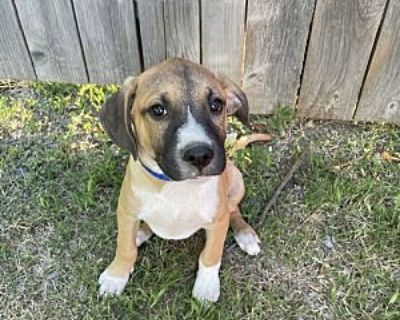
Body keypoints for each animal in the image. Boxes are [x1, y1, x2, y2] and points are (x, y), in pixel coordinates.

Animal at [99, 58, 260, 302]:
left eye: (216, 105)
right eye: (158, 110)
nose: (200, 155)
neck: (176, 185)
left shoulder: (218, 219)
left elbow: (211, 254)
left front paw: (206, 286)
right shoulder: (126, 212)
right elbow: (125, 247)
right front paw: (116, 276)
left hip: (236, 181)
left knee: (234, 210)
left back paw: (246, 234)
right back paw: (141, 233)